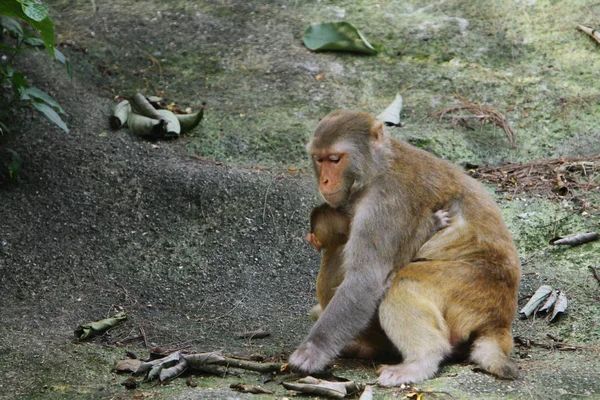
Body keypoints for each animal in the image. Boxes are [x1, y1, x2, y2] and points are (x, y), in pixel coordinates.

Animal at [290, 109, 520, 384]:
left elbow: (365, 280)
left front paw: (311, 352)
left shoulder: (385, 204)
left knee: (403, 282)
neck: (377, 170)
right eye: (319, 159)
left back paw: (421, 361)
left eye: (335, 159)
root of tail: (500, 320)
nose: (324, 181)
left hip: (473, 289)